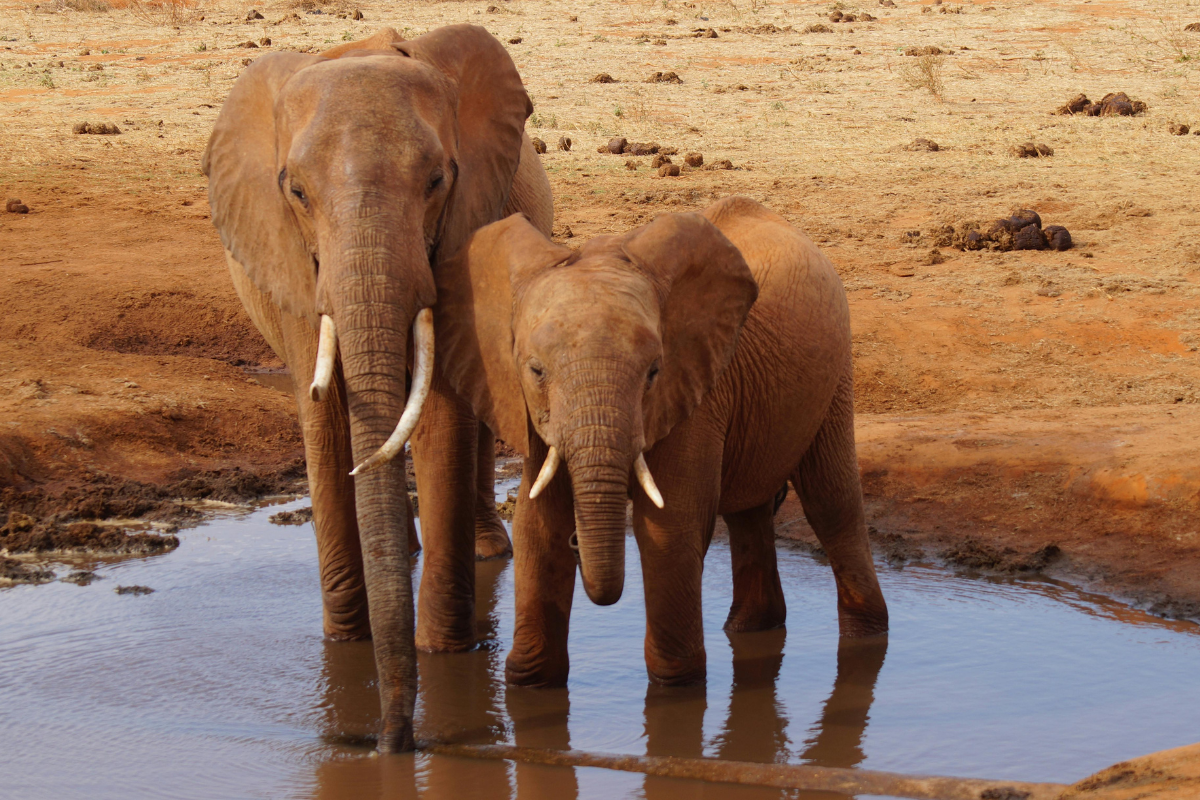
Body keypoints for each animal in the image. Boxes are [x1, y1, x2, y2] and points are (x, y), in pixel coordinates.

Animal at [201, 25, 552, 750]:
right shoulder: (294, 266)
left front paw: (444, 657)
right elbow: (325, 416)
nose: (392, 742)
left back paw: (485, 549)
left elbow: (443, 411)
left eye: (438, 180)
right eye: (296, 192)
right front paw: (344, 649)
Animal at [431, 195, 888, 688]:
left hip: (835, 366)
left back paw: (865, 643)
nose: (579, 544)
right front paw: (531, 683)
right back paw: (749, 629)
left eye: (653, 372)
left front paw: (676, 685)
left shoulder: (694, 391)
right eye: (536, 371)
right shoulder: (530, 411)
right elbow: (538, 526)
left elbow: (669, 528)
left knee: (831, 501)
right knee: (748, 511)